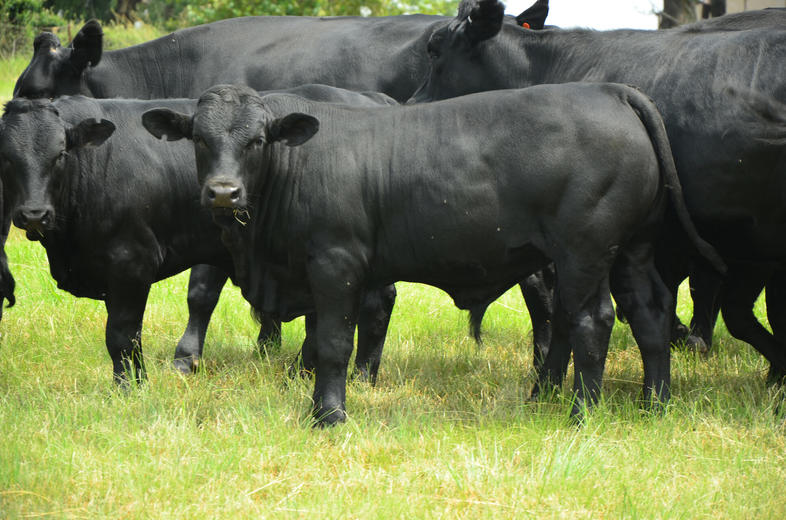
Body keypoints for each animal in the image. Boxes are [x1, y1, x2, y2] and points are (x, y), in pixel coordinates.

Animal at [0, 90, 396, 386]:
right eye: (6, 158)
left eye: (59, 154)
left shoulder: (132, 261)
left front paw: (130, 386)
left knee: (374, 305)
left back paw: (358, 376)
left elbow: (122, 334)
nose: (34, 214)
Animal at [145, 85, 724, 424]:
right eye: (199, 138)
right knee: (649, 316)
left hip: (586, 251)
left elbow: (332, 343)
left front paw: (328, 416)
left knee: (591, 321)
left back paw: (581, 413)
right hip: (632, 250)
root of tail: (610, 91)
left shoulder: (336, 263)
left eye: (258, 140)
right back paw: (654, 405)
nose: (223, 193)